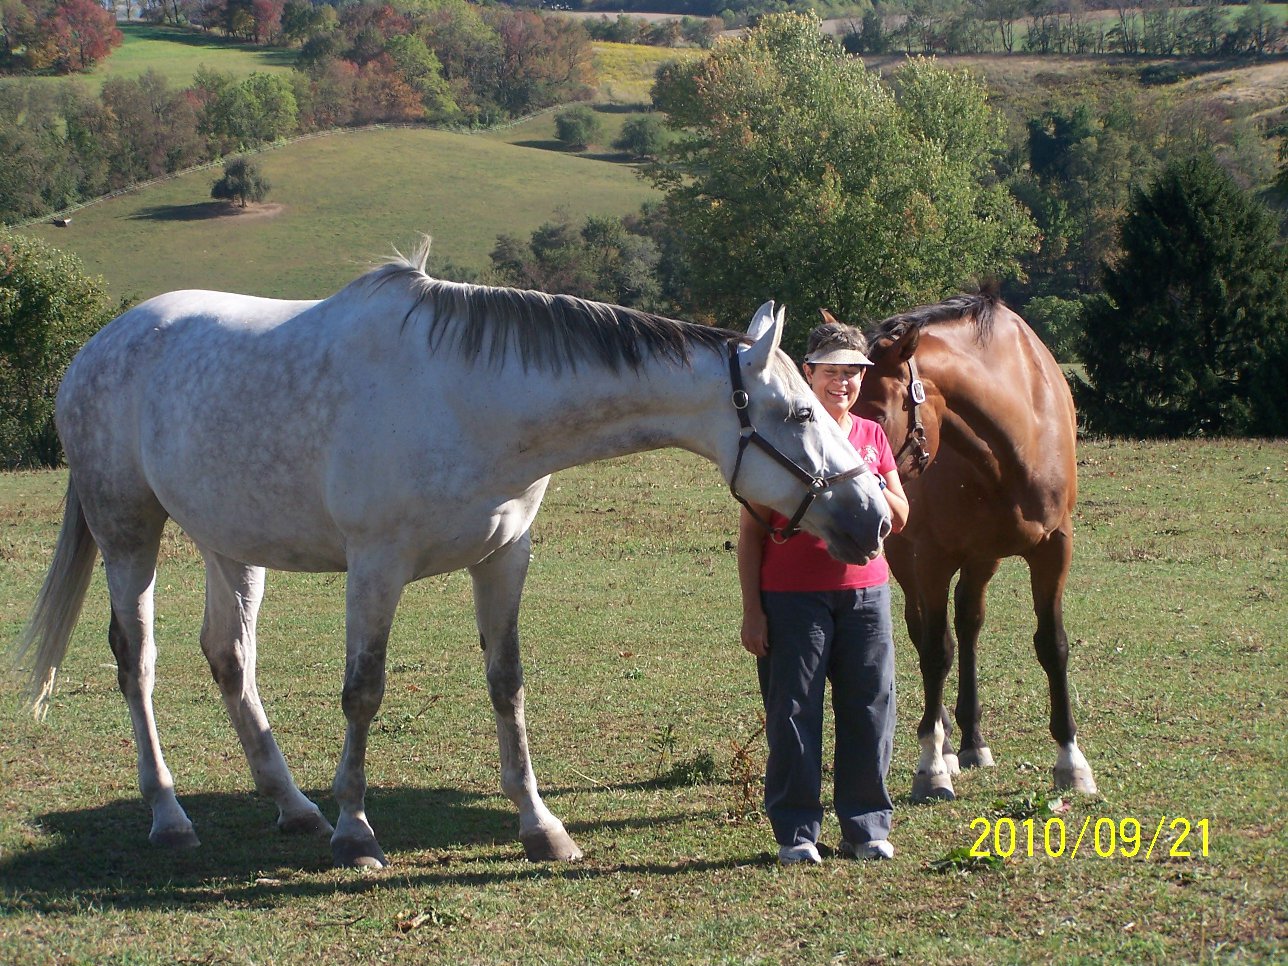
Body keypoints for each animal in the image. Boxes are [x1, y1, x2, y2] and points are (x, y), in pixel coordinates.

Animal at [14, 242, 892, 868]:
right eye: (800, 412)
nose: (873, 517)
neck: (469, 397)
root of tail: (100, 345)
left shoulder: (504, 559)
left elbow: (508, 686)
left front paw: (541, 826)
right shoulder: (377, 567)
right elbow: (363, 691)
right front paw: (357, 832)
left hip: (232, 544)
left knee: (230, 657)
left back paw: (293, 806)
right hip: (130, 532)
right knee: (137, 662)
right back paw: (170, 816)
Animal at [832, 294, 1097, 801]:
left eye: (875, 415)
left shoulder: (1055, 548)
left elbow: (1052, 644)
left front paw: (1072, 760)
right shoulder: (932, 560)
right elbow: (936, 651)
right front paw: (932, 765)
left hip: (982, 558)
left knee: (968, 625)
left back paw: (973, 741)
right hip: (909, 557)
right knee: (930, 635)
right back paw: (947, 745)